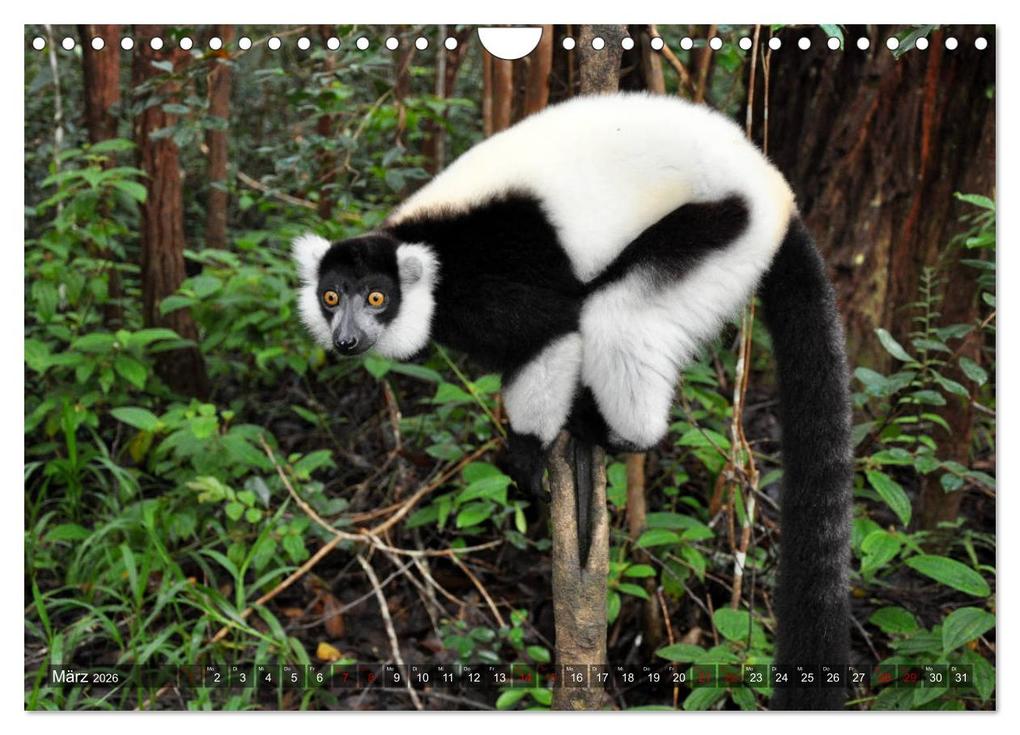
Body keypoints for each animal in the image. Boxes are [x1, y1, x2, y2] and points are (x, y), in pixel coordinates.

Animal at [293, 93, 852, 710]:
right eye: (330, 297)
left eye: (376, 298)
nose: (346, 340)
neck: (434, 263)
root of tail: (775, 189)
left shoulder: (492, 285)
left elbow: (554, 331)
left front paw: (527, 452)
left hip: (725, 225)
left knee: (615, 315)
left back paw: (608, 431)